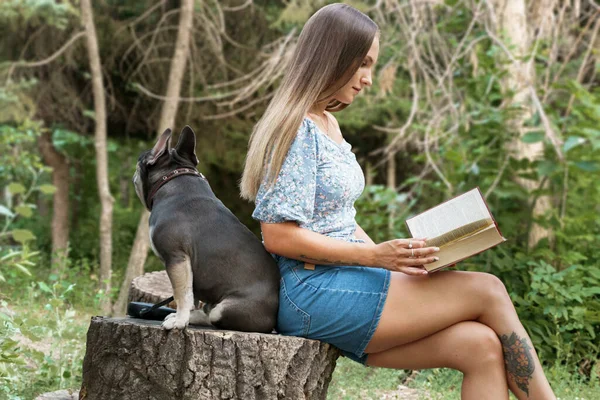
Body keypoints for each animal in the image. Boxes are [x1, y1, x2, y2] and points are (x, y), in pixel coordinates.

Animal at [132, 126, 280, 332]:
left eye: (139, 164)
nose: (134, 173)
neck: (173, 179)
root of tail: (274, 321)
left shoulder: (176, 258)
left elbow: (181, 294)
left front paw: (179, 321)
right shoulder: (187, 267)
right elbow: (190, 295)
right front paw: (182, 317)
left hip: (227, 308)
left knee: (213, 316)